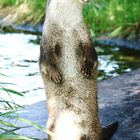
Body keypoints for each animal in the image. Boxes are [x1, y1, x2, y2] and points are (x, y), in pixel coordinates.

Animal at [38, 0, 117, 139]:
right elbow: (46, 62)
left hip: (92, 127)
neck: (66, 27)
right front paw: (55, 75)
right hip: (50, 127)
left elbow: (92, 55)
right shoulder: (47, 41)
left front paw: (87, 68)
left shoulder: (85, 35)